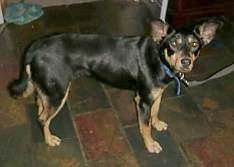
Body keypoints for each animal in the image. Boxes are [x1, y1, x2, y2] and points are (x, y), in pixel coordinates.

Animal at [8, 18, 222, 154]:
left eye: (194, 44)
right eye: (174, 43)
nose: (186, 62)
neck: (159, 58)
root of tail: (35, 46)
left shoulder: (156, 94)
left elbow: (155, 112)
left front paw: (157, 123)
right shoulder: (143, 100)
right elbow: (145, 127)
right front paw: (150, 144)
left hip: (48, 89)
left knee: (39, 106)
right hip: (58, 93)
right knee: (42, 119)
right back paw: (49, 139)